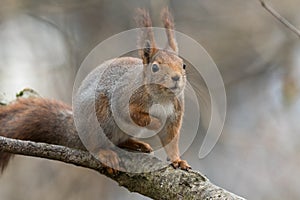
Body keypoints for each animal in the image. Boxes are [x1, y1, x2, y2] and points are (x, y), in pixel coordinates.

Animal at [0, 8, 190, 172]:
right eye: (155, 68)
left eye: (183, 65)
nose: (176, 78)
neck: (162, 97)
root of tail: (77, 131)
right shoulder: (124, 99)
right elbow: (134, 115)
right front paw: (156, 123)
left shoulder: (175, 113)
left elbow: (171, 139)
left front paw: (177, 160)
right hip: (97, 115)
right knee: (94, 145)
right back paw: (105, 153)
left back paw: (135, 144)